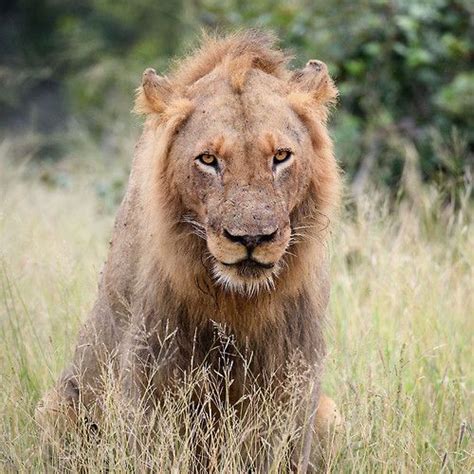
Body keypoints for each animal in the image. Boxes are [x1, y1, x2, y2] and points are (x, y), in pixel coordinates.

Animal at [37, 30, 340, 470]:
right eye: (208, 159)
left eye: (281, 156)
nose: (252, 239)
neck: (237, 304)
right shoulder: (151, 378)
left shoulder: (294, 380)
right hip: (55, 406)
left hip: (331, 414)